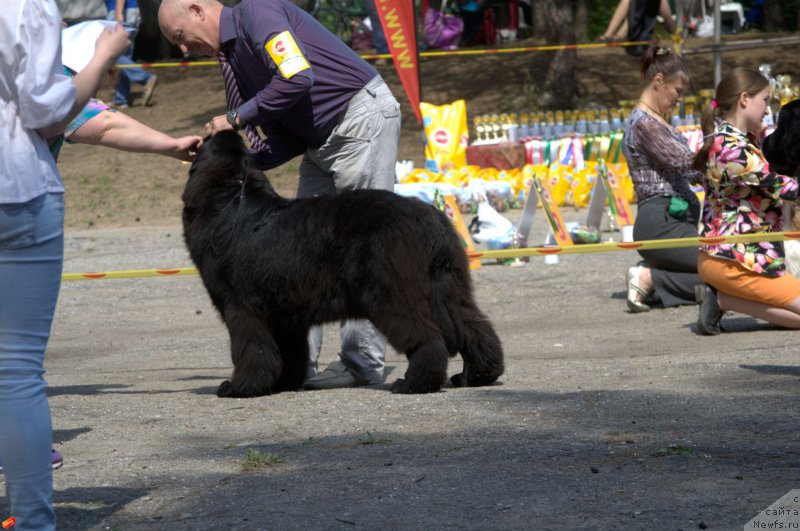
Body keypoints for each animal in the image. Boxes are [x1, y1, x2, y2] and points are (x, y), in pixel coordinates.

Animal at [184, 132, 504, 400]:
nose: (206, 135)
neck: (229, 201)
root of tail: (430, 219)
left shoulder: (242, 307)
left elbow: (252, 350)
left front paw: (239, 388)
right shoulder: (285, 314)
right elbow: (287, 353)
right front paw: (282, 383)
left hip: (391, 294)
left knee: (427, 337)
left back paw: (413, 384)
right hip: (447, 285)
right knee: (474, 326)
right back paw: (476, 376)